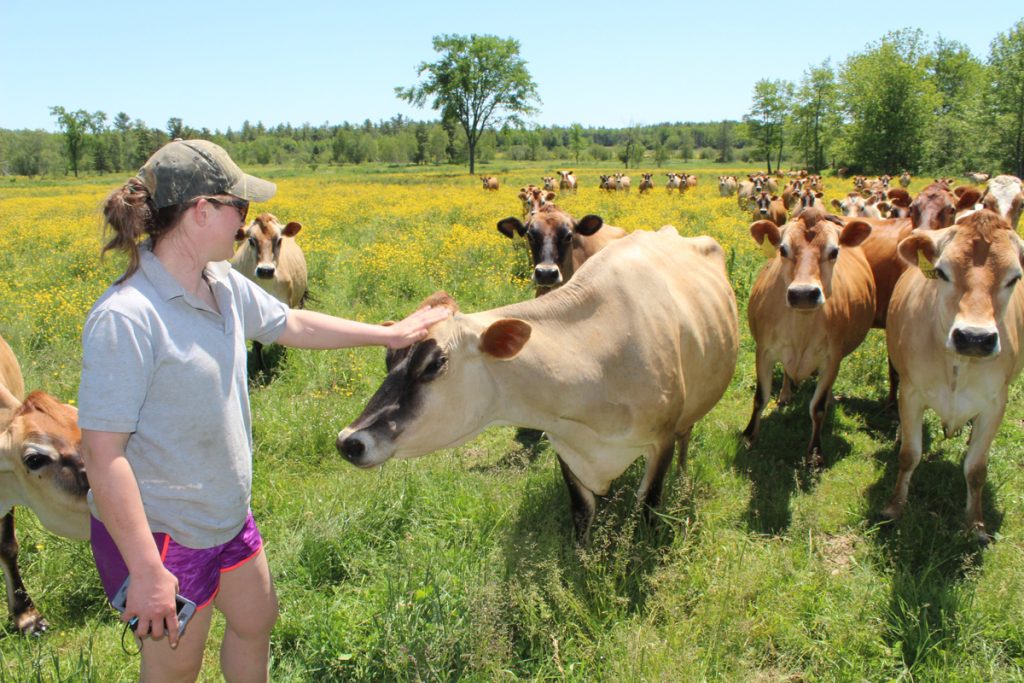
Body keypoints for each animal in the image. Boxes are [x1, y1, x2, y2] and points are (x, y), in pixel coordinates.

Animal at [339, 227, 741, 540]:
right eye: (389, 358)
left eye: (435, 364)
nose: (348, 442)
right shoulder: (564, 443)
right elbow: (581, 512)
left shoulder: (660, 441)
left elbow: (648, 510)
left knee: (687, 437)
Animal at [741, 208, 876, 471]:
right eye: (783, 250)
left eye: (834, 251)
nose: (803, 294)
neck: (801, 328)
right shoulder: (764, 351)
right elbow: (760, 397)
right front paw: (749, 436)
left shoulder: (832, 359)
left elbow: (818, 408)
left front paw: (814, 453)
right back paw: (785, 395)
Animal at [880, 208, 1024, 544]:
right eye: (942, 272)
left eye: (1014, 277)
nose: (974, 337)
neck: (959, 363)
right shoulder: (910, 393)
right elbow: (909, 454)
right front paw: (894, 508)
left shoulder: (995, 404)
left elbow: (976, 468)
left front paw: (976, 525)